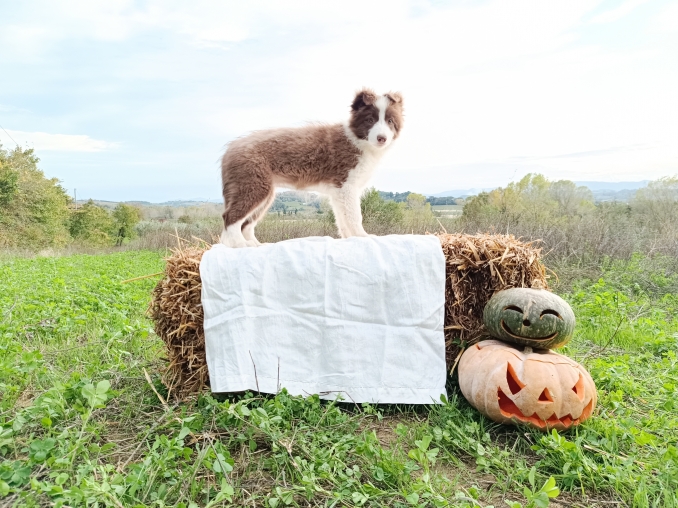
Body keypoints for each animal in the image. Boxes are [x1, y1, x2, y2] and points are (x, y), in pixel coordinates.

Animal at [219, 89, 404, 248]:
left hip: (264, 191)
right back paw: (239, 244)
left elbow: (342, 218)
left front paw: (349, 238)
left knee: (247, 222)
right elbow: (354, 215)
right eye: (370, 120)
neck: (357, 139)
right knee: (231, 216)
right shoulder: (346, 185)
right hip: (253, 185)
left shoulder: (339, 191)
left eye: (390, 121)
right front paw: (362, 236)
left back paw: (254, 244)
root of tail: (230, 149)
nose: (382, 138)